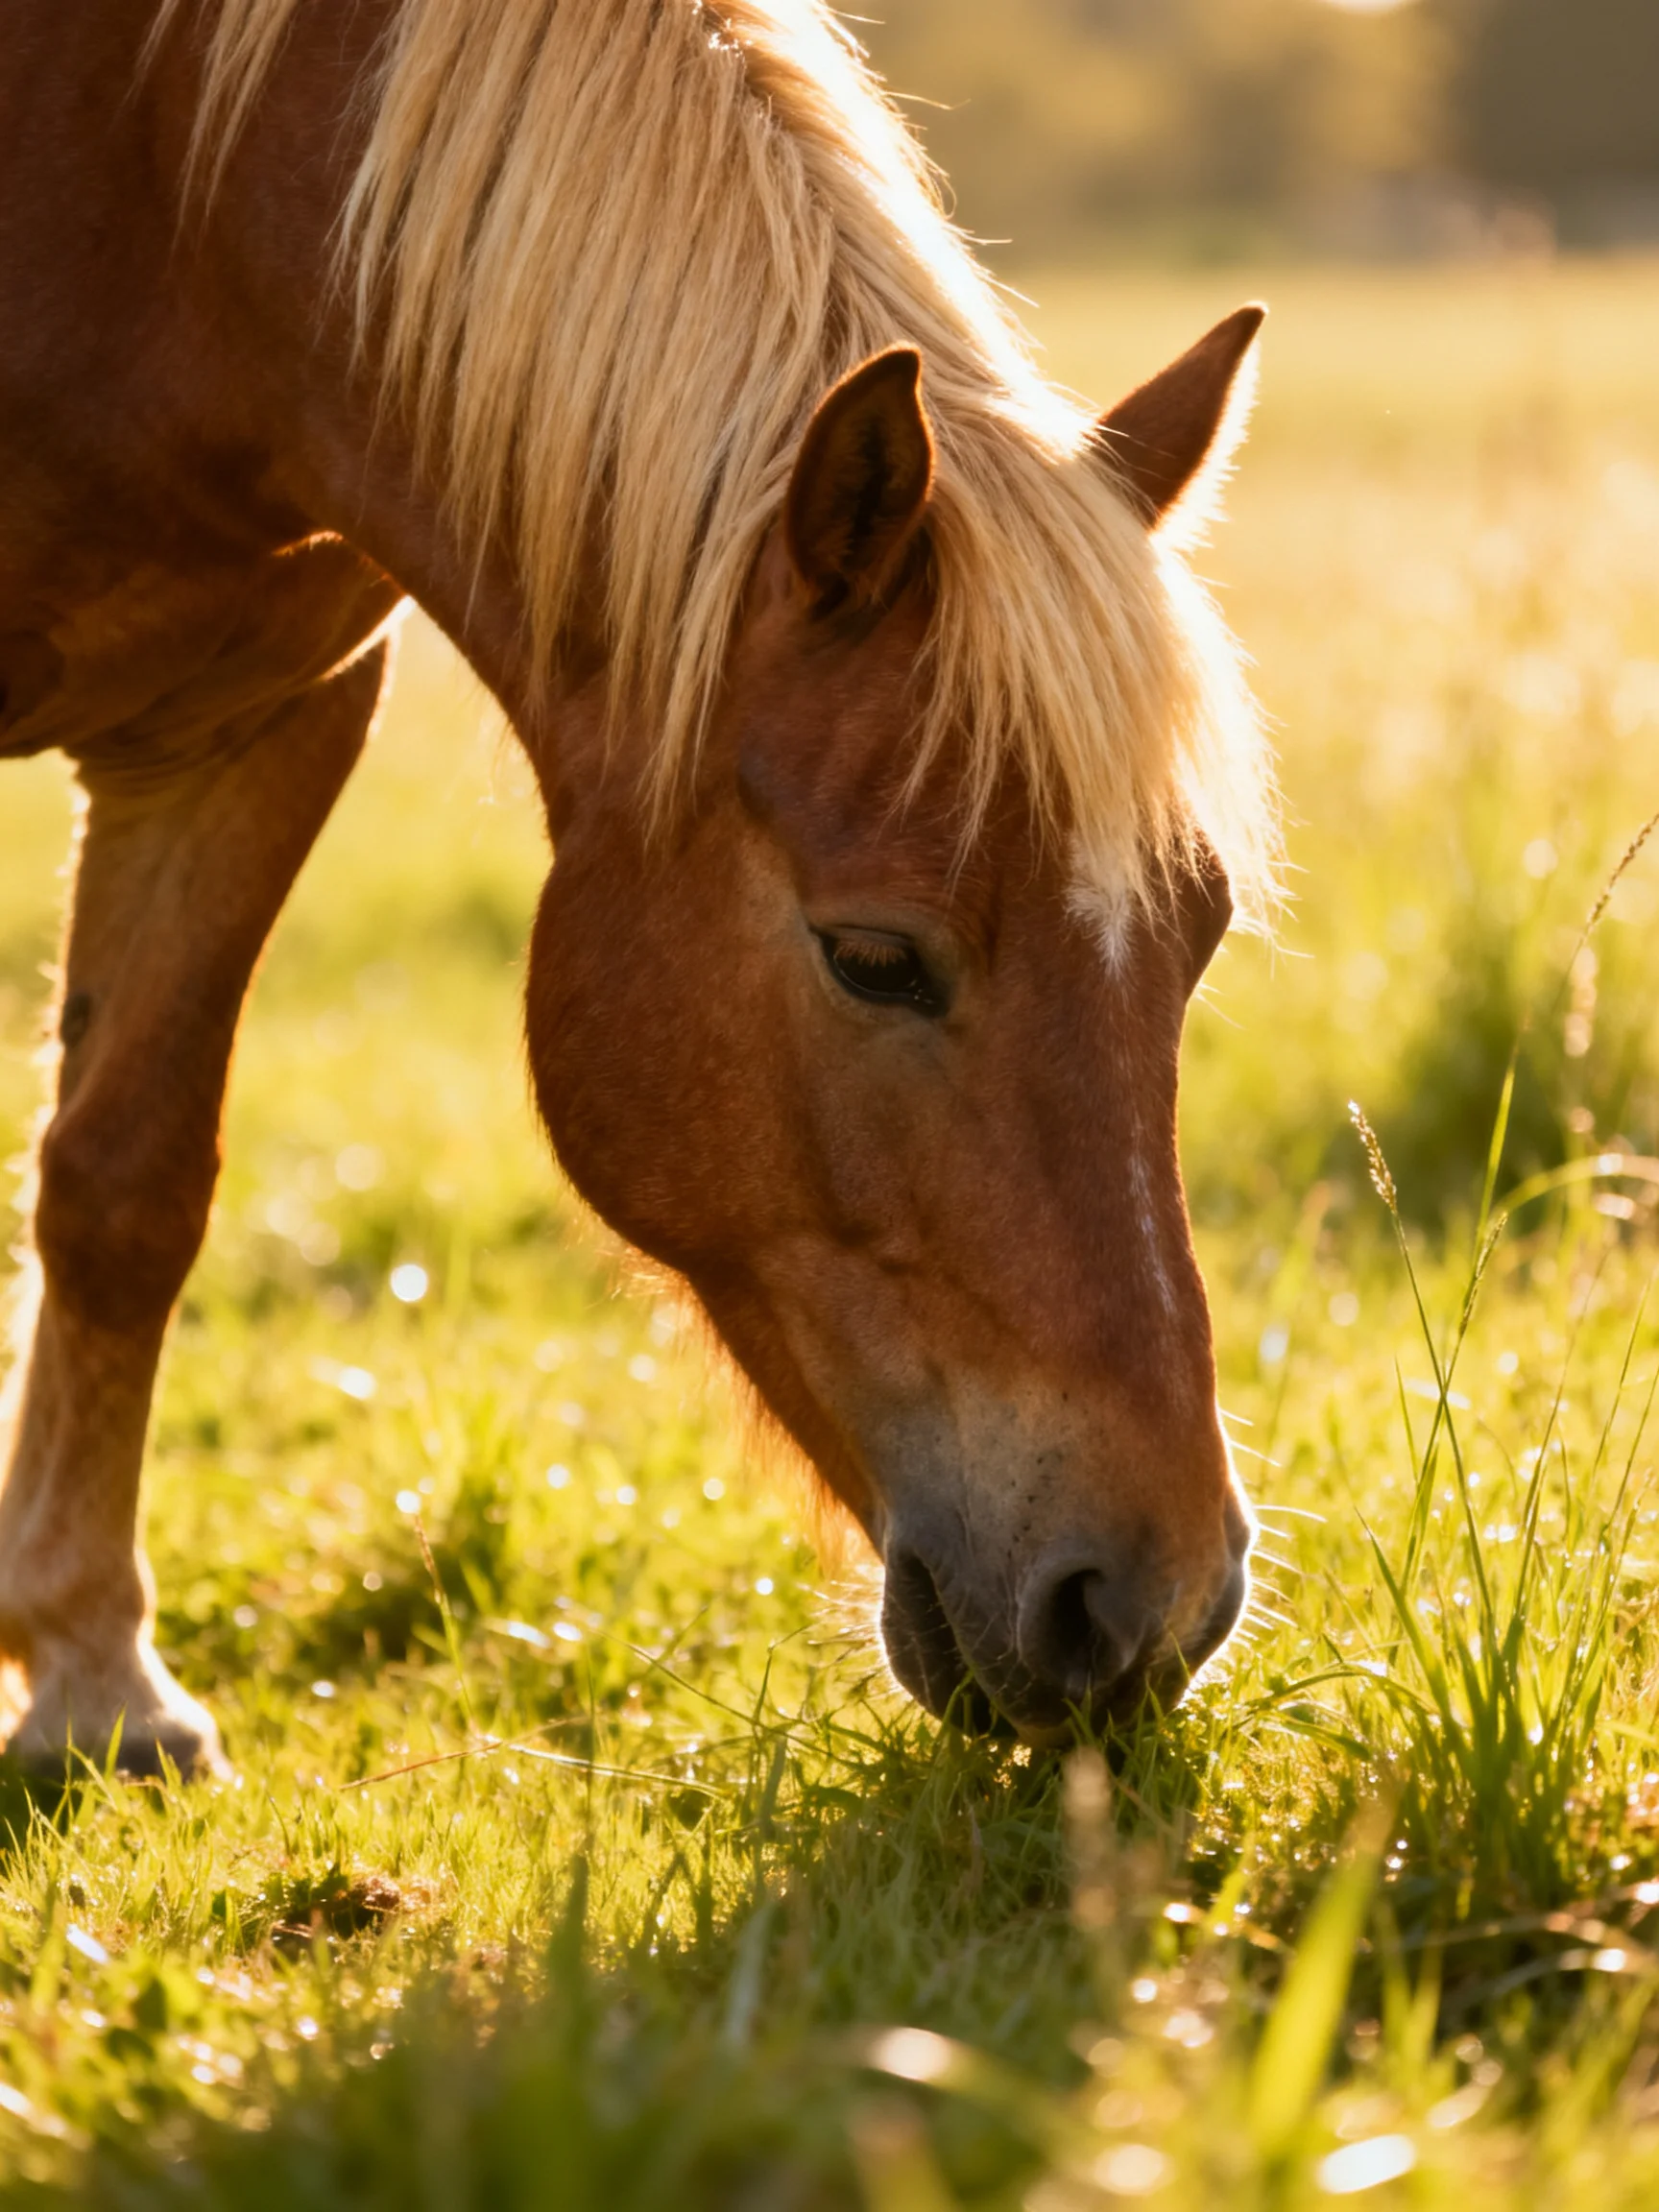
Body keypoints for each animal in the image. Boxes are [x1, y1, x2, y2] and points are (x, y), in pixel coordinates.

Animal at [0, 0, 1272, 1777]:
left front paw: (93, 1681)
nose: (1148, 1607)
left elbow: (123, 1185)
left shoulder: (256, 723)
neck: (157, 181)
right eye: (873, 957)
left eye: (1195, 942)